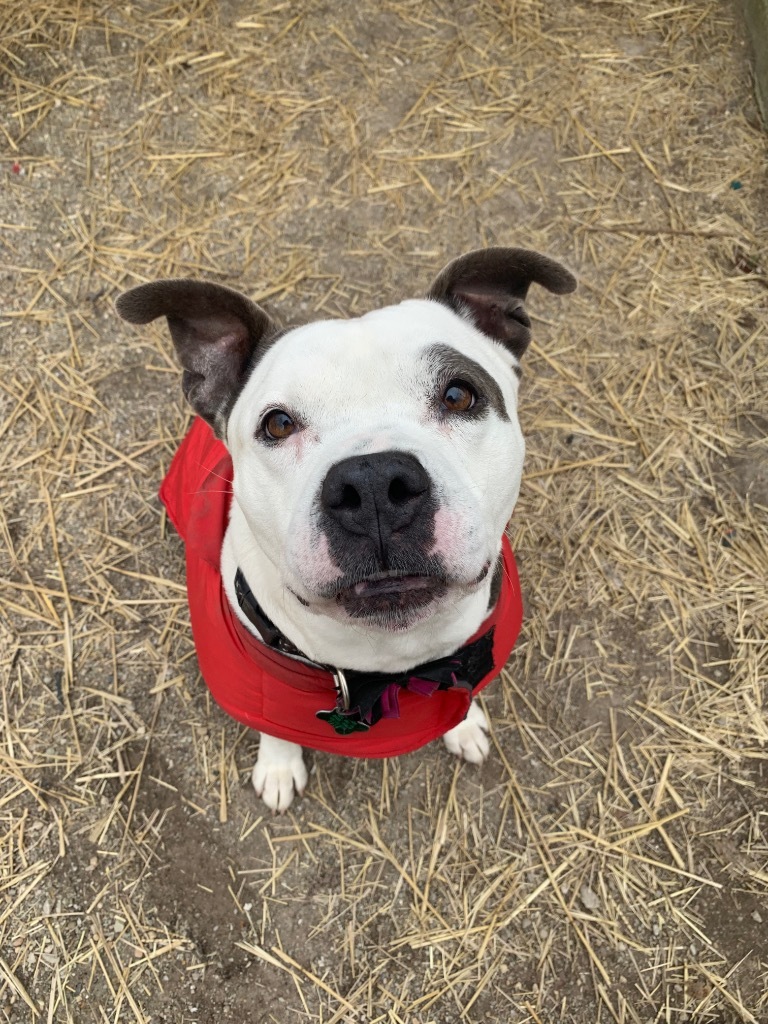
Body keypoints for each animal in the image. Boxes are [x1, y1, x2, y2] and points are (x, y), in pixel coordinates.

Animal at [117, 245, 573, 806]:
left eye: (459, 396)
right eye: (278, 424)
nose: (374, 484)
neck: (392, 664)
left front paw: (462, 723)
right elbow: (274, 727)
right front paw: (278, 766)